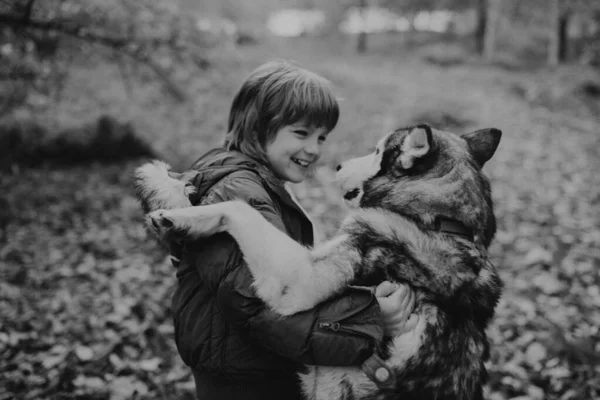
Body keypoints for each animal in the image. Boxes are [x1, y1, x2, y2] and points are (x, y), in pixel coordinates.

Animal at [134, 125, 504, 400]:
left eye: (376, 151)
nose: (337, 166)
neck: (440, 220)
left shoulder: (299, 281)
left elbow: (239, 208)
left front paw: (173, 207)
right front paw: (172, 187)